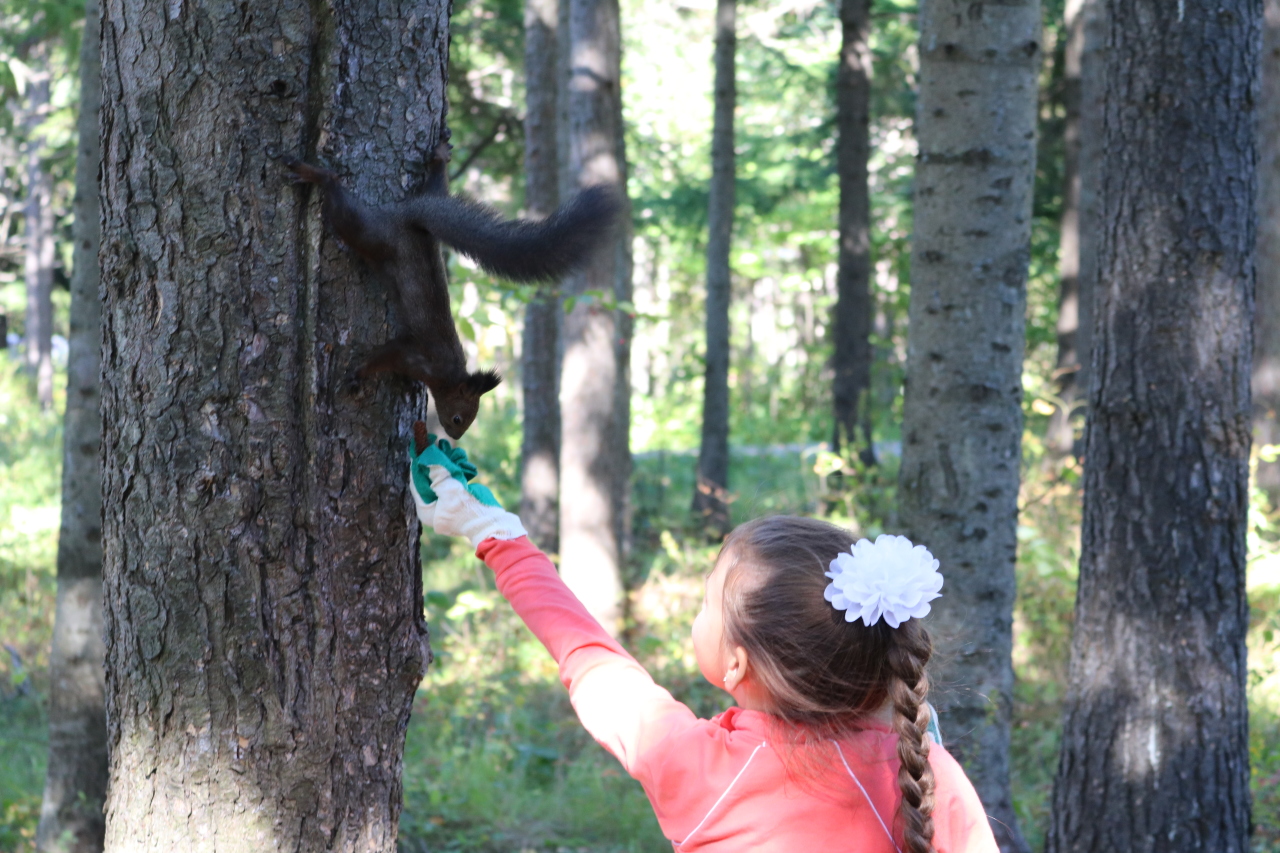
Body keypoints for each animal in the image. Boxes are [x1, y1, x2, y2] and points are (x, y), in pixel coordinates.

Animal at [288, 140, 616, 438]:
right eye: (459, 418)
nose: (455, 437)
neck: (448, 376)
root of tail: (408, 213)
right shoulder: (414, 355)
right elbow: (382, 356)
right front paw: (358, 374)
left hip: (421, 202)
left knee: (435, 184)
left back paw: (439, 157)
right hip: (371, 235)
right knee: (344, 207)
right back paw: (317, 175)